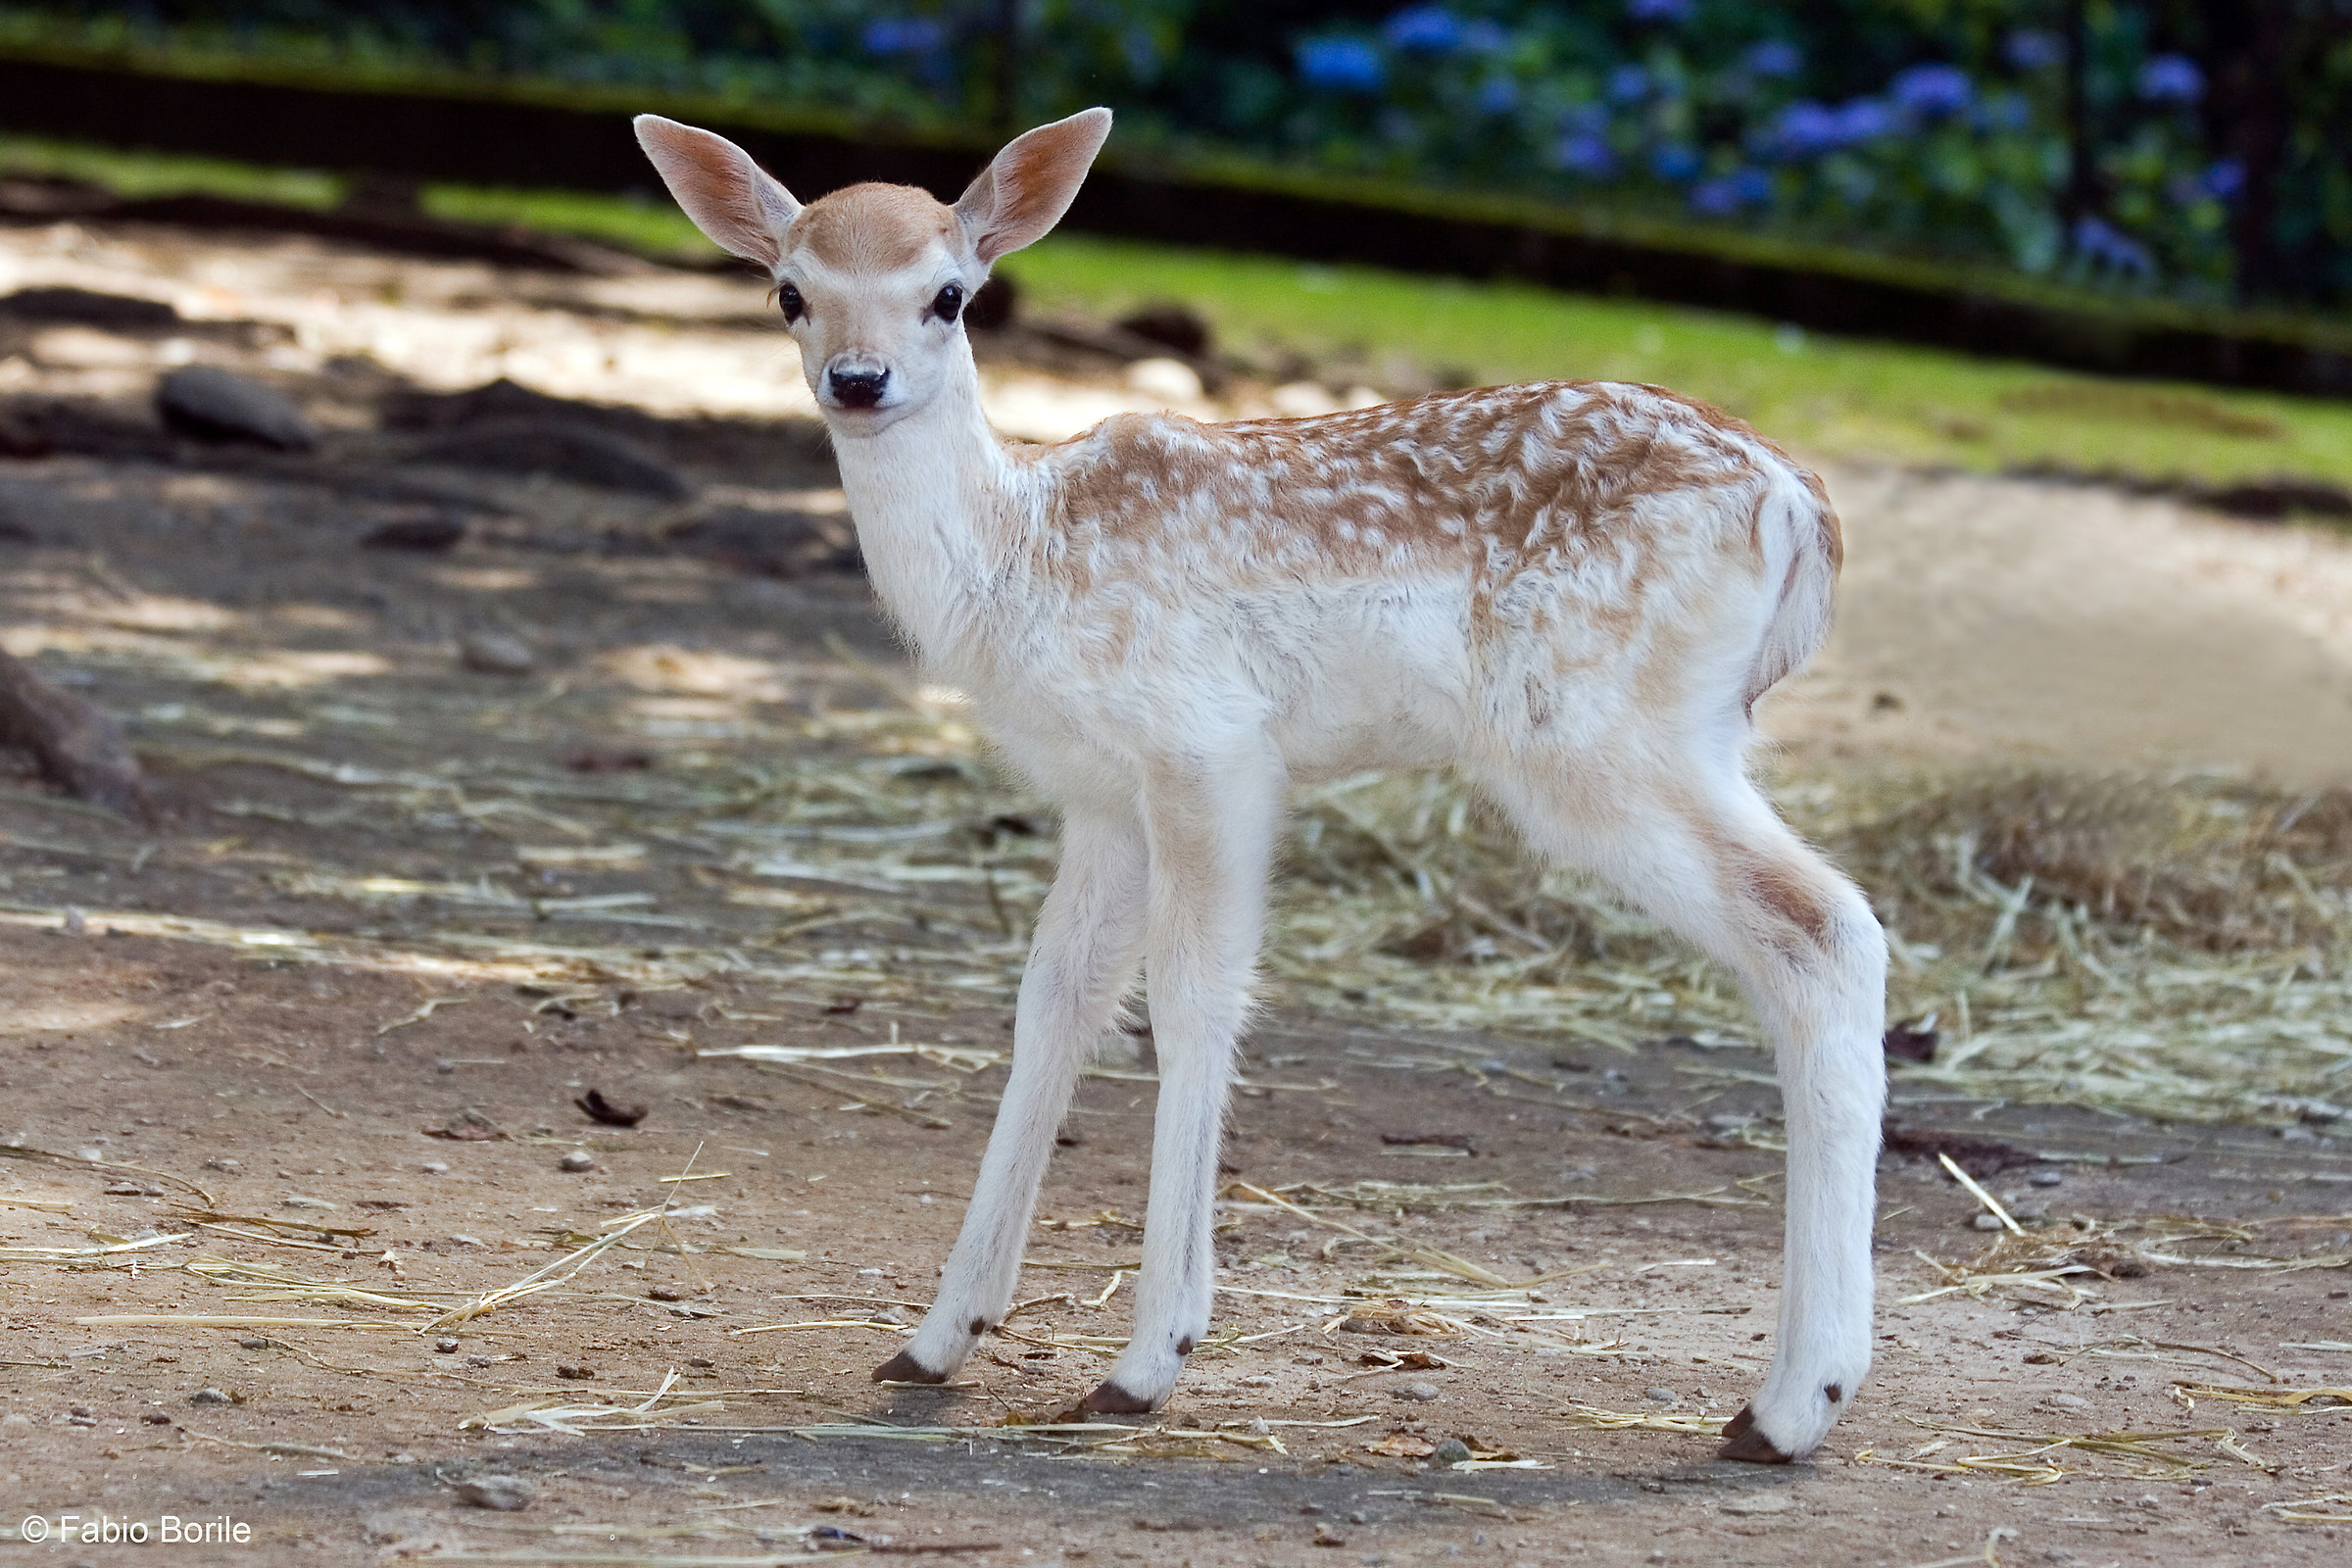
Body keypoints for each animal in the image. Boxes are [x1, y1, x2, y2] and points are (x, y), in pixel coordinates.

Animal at [633, 106, 1887, 1464]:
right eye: (789, 291)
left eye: (951, 295)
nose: (857, 381)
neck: (1021, 566)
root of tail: (1802, 512)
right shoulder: (1099, 794)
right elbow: (1053, 1005)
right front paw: (936, 1339)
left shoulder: (1210, 745)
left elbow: (1194, 1001)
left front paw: (1146, 1364)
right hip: (1687, 731)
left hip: (1599, 731)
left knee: (1826, 926)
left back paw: (1790, 1406)